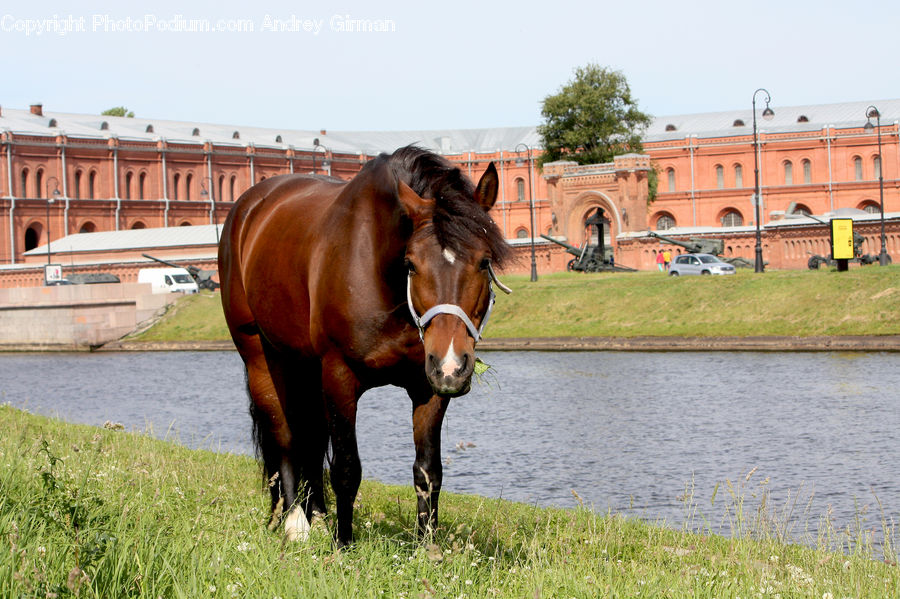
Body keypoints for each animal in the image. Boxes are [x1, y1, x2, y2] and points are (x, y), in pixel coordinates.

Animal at [218, 146, 510, 548]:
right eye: (411, 264)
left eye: (484, 261)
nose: (452, 365)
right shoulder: (340, 375)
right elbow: (346, 468)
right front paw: (342, 545)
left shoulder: (428, 387)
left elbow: (428, 470)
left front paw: (428, 547)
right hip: (262, 358)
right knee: (286, 435)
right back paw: (295, 522)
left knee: (312, 437)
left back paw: (317, 516)